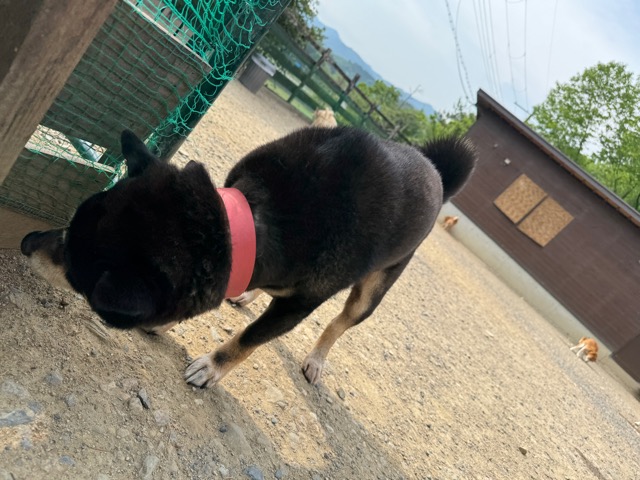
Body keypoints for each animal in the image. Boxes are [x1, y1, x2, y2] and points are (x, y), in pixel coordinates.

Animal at [21, 127, 476, 387]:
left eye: (74, 269)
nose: (26, 241)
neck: (259, 220)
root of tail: (435, 168)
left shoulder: (297, 307)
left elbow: (248, 340)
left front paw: (212, 366)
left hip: (373, 290)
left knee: (339, 323)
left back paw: (316, 359)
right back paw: (248, 295)